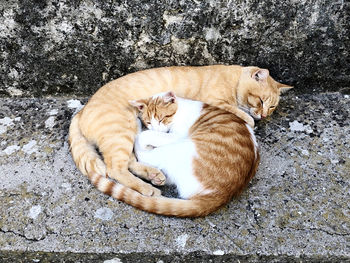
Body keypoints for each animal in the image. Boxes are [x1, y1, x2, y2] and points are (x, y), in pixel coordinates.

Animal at [67, 65, 290, 198]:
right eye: (260, 101)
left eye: (272, 106)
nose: (264, 115)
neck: (232, 78)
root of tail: (82, 110)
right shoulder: (217, 102)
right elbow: (247, 118)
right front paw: (250, 119)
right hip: (122, 132)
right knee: (115, 169)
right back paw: (147, 188)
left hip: (128, 132)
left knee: (130, 162)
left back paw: (153, 175)